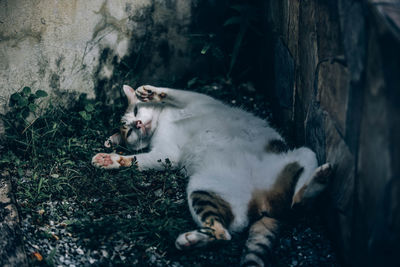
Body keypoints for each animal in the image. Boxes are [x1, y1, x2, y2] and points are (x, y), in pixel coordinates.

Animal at [91, 85, 332, 266]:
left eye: (136, 112)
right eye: (130, 131)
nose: (139, 123)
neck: (162, 124)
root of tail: (266, 204)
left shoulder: (198, 102)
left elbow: (175, 93)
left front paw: (150, 92)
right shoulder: (164, 155)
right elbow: (137, 160)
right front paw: (111, 160)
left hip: (302, 153)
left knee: (298, 195)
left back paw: (316, 181)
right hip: (204, 188)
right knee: (225, 231)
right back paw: (190, 240)